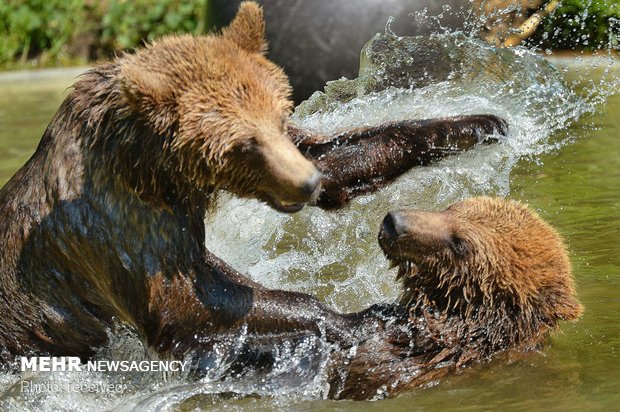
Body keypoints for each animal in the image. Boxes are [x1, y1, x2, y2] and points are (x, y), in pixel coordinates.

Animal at [0, 0, 506, 386]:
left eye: (280, 118)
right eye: (244, 144)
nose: (307, 184)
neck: (154, 167)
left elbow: (335, 152)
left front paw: (478, 124)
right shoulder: (115, 224)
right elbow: (188, 307)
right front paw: (362, 318)